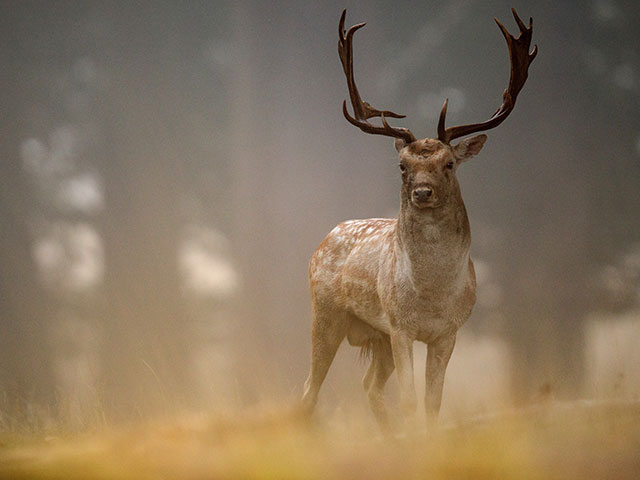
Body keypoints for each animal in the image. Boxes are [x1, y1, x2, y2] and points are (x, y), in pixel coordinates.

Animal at [300, 9, 536, 434]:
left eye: (449, 163)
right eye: (402, 165)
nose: (422, 192)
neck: (432, 296)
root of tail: (324, 240)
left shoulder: (448, 332)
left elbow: (433, 402)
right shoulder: (400, 326)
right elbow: (410, 401)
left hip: (374, 336)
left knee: (368, 386)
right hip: (326, 314)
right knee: (309, 389)